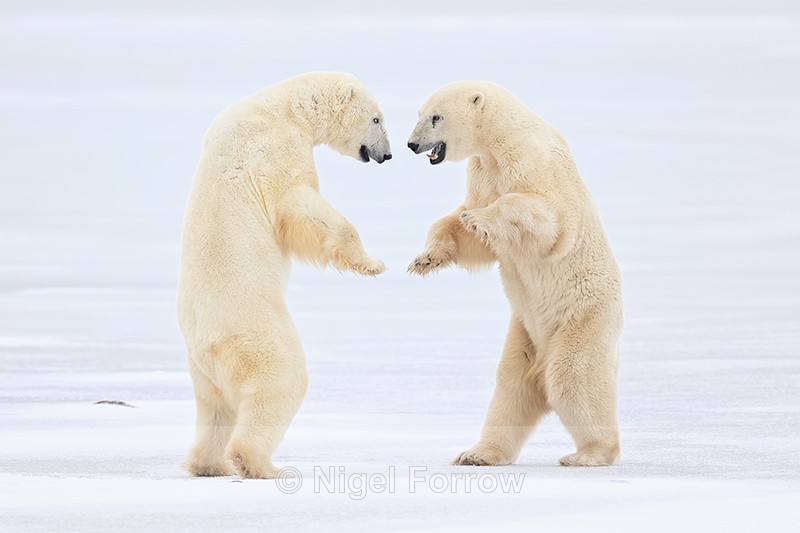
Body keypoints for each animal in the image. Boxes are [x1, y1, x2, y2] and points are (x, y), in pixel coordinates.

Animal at [177, 72, 391, 479]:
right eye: (377, 119)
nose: (387, 154)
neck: (283, 107)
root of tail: (206, 345)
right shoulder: (275, 151)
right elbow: (299, 206)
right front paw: (372, 264)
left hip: (201, 371)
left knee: (215, 408)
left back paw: (210, 464)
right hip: (256, 335)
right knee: (280, 383)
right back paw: (262, 465)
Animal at [407, 81, 623, 467]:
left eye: (436, 117)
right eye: (421, 113)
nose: (412, 144)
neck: (501, 137)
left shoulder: (532, 163)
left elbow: (545, 220)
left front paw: (480, 217)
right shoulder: (482, 172)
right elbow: (469, 234)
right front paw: (425, 258)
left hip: (583, 320)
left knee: (571, 377)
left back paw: (588, 454)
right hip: (524, 333)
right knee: (512, 386)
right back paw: (477, 454)